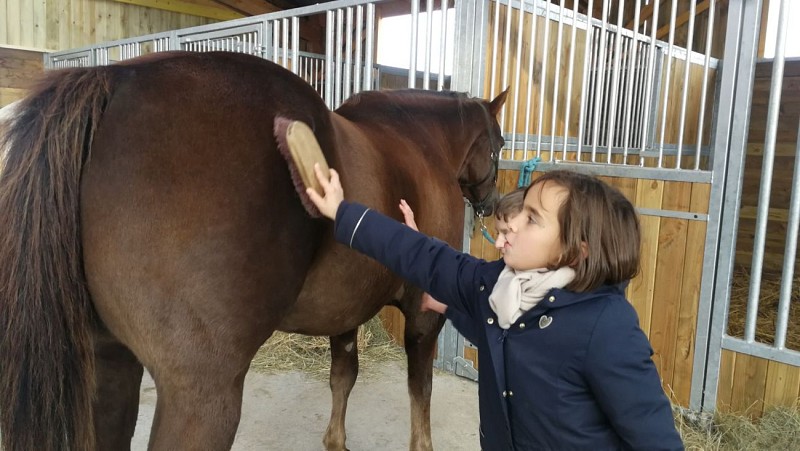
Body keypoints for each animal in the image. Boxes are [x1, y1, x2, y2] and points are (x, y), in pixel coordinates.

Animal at [0, 51, 506, 451]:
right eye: (499, 144)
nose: (491, 204)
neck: (418, 145)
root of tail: (113, 81)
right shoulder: (423, 312)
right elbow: (420, 391)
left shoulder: (345, 313)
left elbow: (343, 378)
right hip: (202, 397)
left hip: (108, 364)